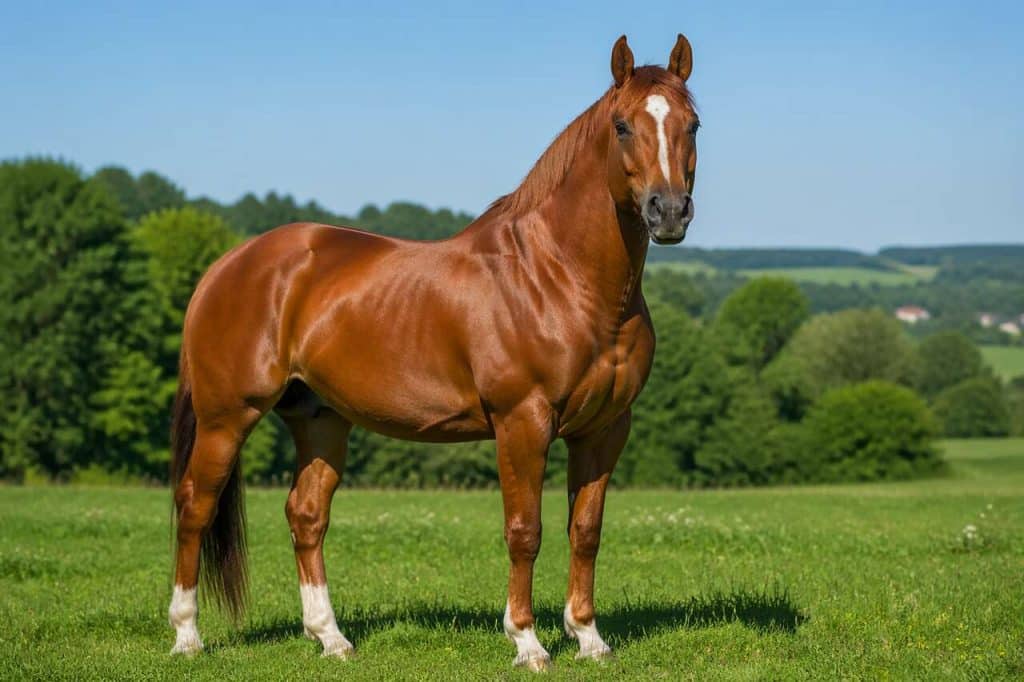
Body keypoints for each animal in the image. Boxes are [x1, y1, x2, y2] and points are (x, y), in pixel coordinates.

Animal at [168, 33, 699, 671]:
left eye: (693, 124)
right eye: (622, 126)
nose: (668, 211)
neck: (561, 278)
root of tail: (227, 265)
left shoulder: (606, 428)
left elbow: (586, 531)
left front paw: (589, 638)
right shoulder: (522, 422)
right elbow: (525, 530)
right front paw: (528, 642)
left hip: (320, 419)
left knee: (306, 515)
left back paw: (330, 637)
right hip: (227, 418)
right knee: (195, 506)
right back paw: (187, 636)